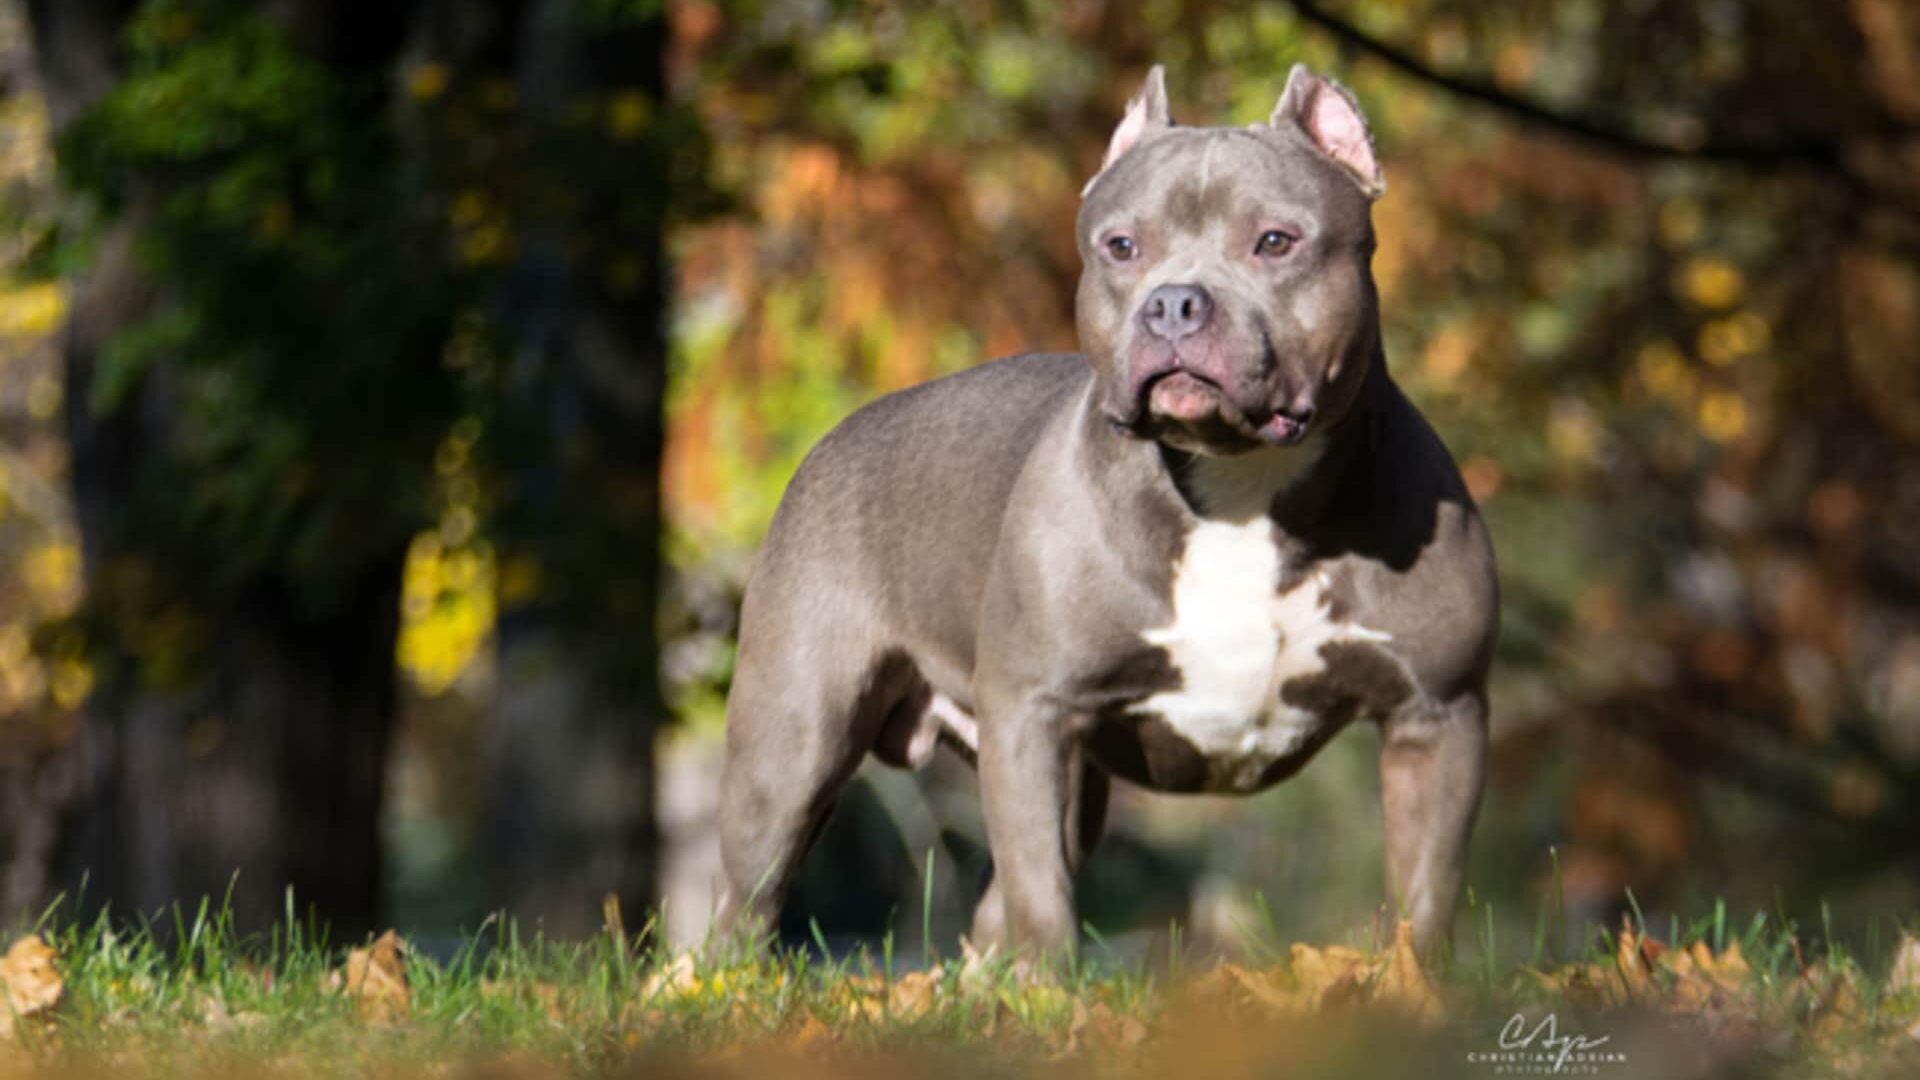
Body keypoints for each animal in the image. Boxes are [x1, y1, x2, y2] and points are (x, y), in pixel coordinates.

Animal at [721, 65, 1497, 957]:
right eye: (1122, 246)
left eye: (1276, 242)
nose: (1175, 304)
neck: (1238, 489)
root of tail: (833, 436)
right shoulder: (1035, 713)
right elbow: (1043, 895)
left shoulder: (1437, 715)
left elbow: (1425, 896)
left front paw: (1415, 981)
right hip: (792, 741)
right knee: (747, 897)